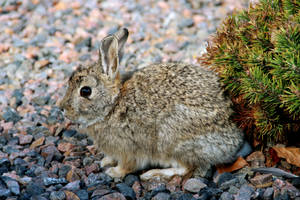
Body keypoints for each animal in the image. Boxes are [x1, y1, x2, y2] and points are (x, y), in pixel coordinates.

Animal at [59, 27, 245, 180]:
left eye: (85, 91)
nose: (61, 109)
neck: (112, 105)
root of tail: (233, 142)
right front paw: (106, 161)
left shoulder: (129, 149)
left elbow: (127, 165)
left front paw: (113, 172)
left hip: (172, 140)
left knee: (186, 168)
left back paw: (153, 174)